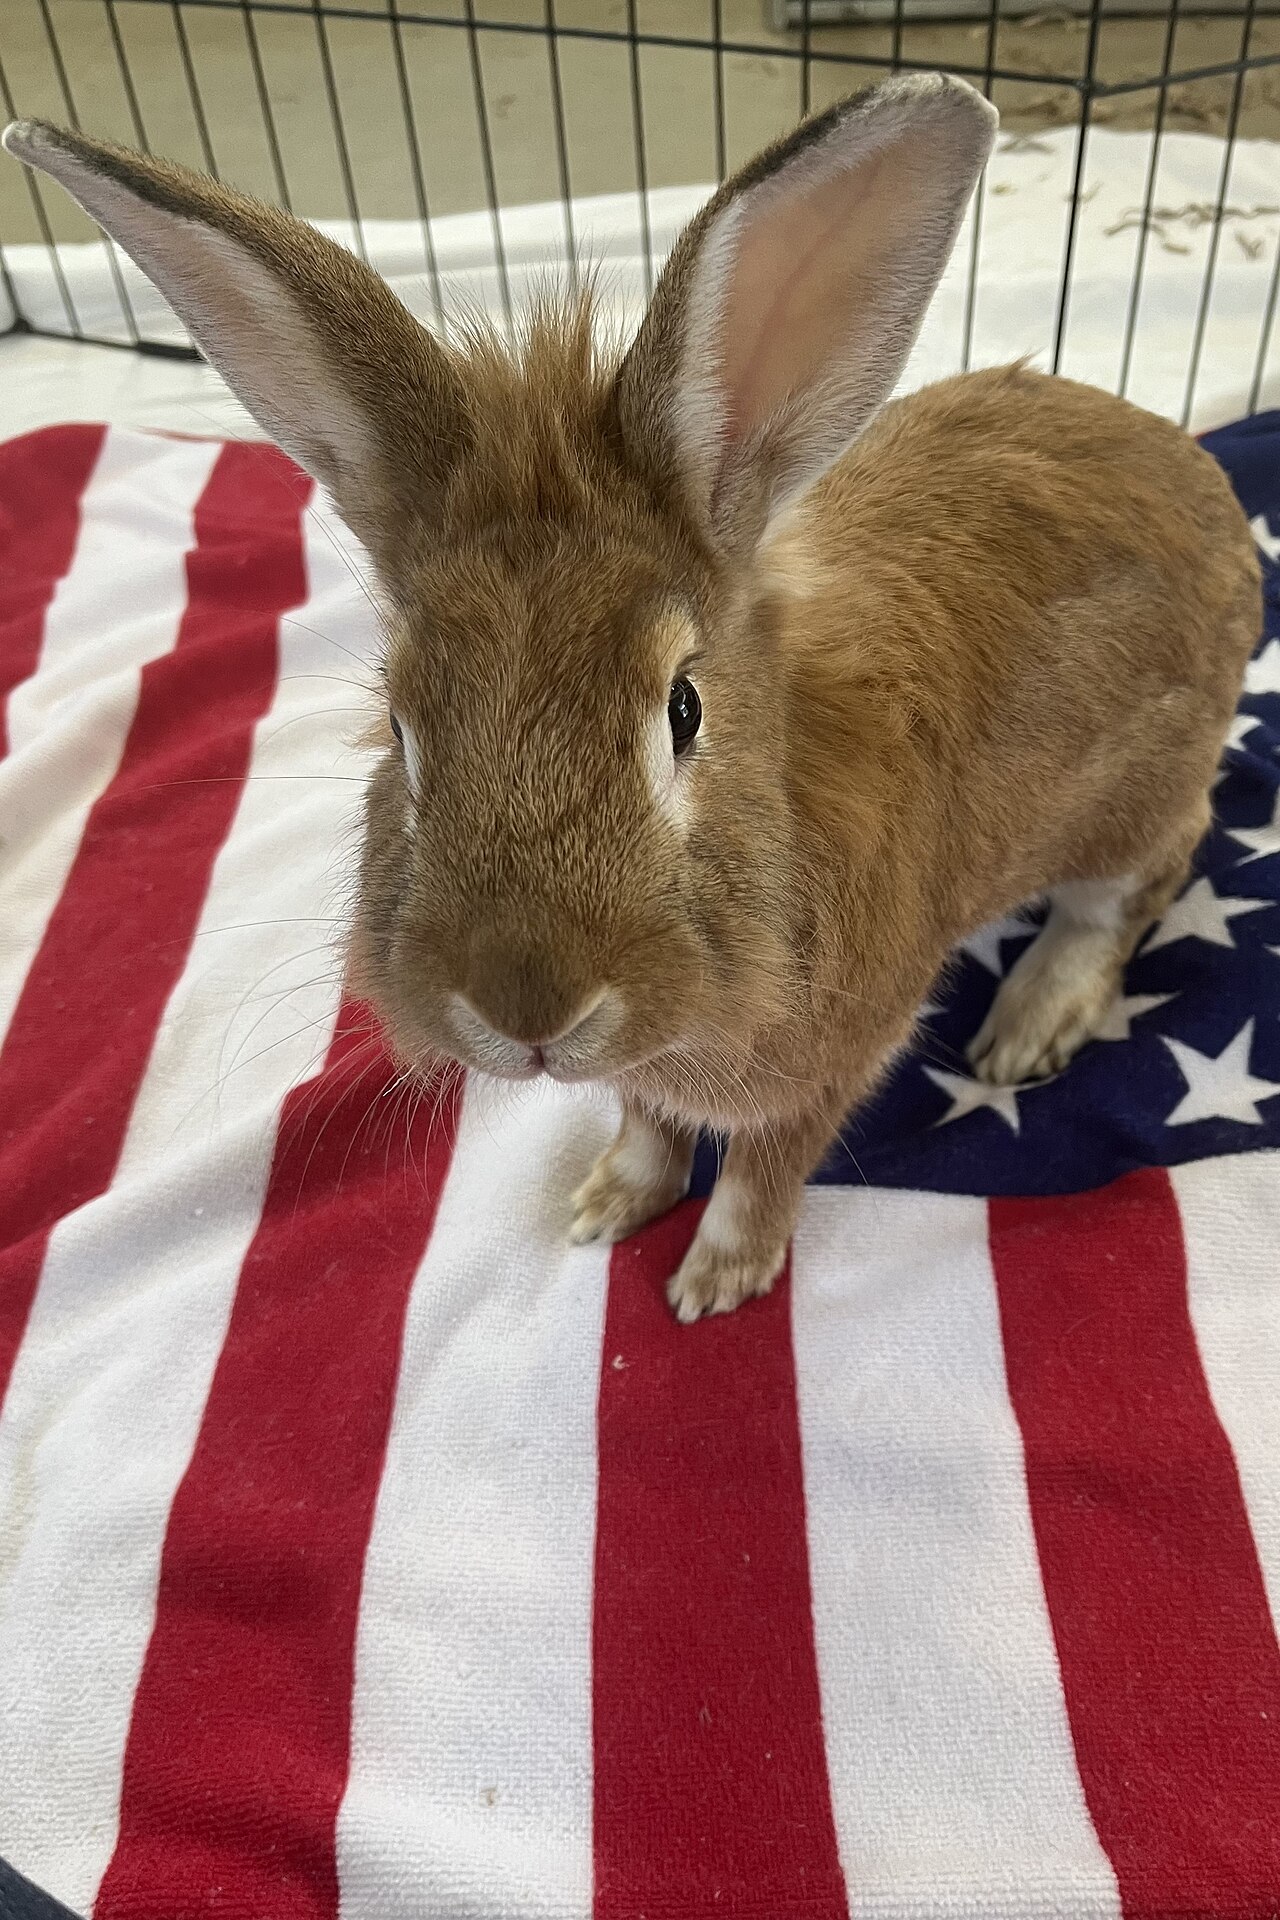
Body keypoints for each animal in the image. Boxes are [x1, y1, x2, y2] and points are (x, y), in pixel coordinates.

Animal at [5, 76, 1260, 1323]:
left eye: (682, 711)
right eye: (403, 726)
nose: (524, 1012)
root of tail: (1202, 488)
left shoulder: (828, 1055)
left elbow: (762, 1168)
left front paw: (712, 1281)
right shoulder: (646, 1076)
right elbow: (647, 1122)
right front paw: (607, 1205)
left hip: (1134, 796)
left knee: (1139, 881)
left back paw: (1023, 1028)